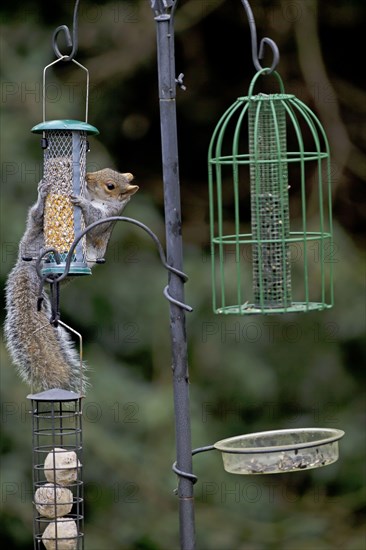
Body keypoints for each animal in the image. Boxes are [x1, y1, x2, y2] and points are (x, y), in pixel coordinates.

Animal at [3, 170, 139, 394]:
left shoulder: (104, 220)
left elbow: (94, 220)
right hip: (33, 235)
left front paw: (81, 202)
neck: (98, 199)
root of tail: (28, 266)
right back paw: (42, 198)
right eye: (102, 170)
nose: (88, 177)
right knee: (36, 217)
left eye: (110, 185)